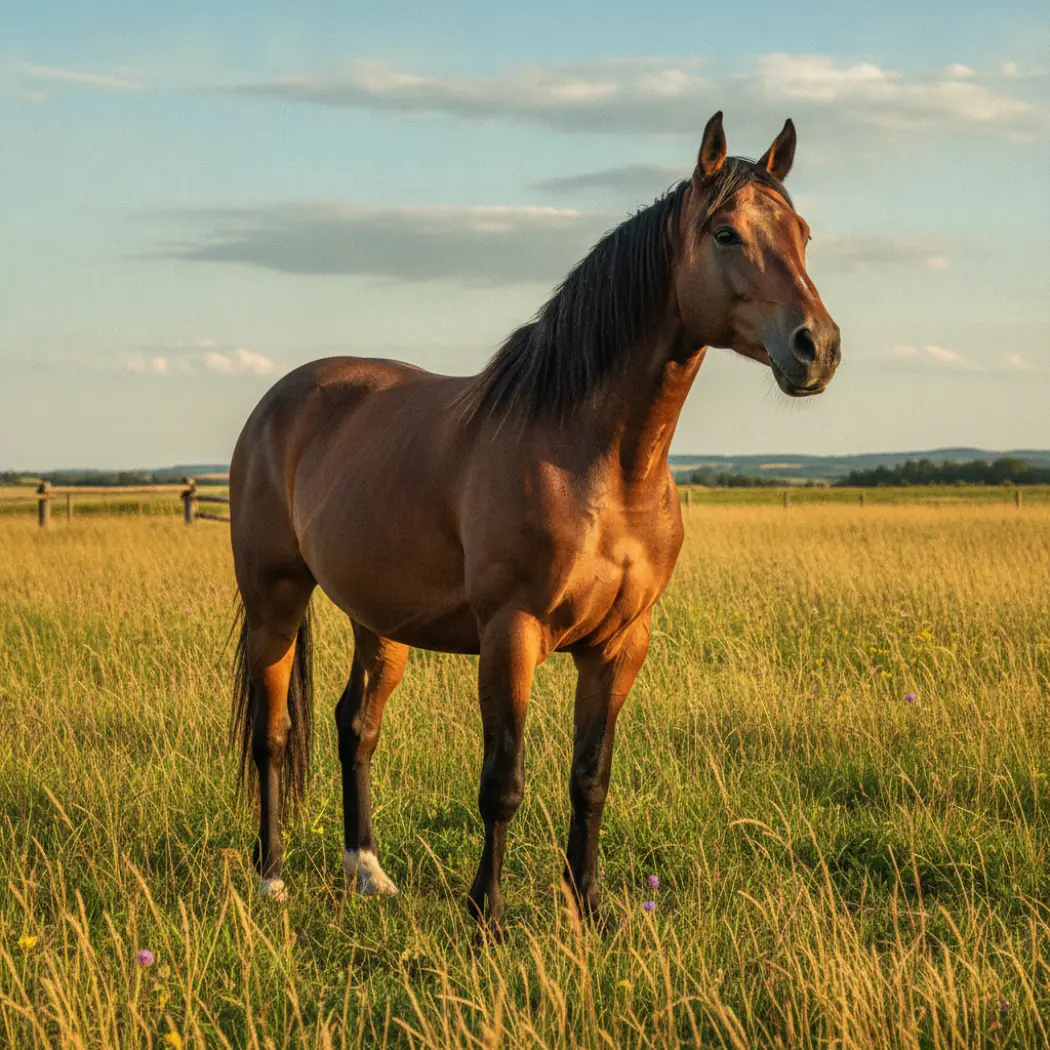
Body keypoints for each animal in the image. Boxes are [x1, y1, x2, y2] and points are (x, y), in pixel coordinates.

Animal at [229, 112, 840, 931]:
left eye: (802, 233)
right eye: (726, 234)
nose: (818, 348)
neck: (601, 463)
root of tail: (283, 398)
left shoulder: (620, 646)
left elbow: (590, 779)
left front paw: (589, 908)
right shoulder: (509, 635)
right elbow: (503, 781)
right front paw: (484, 914)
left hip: (379, 621)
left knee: (355, 726)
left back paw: (368, 871)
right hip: (276, 602)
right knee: (272, 736)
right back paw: (271, 878)